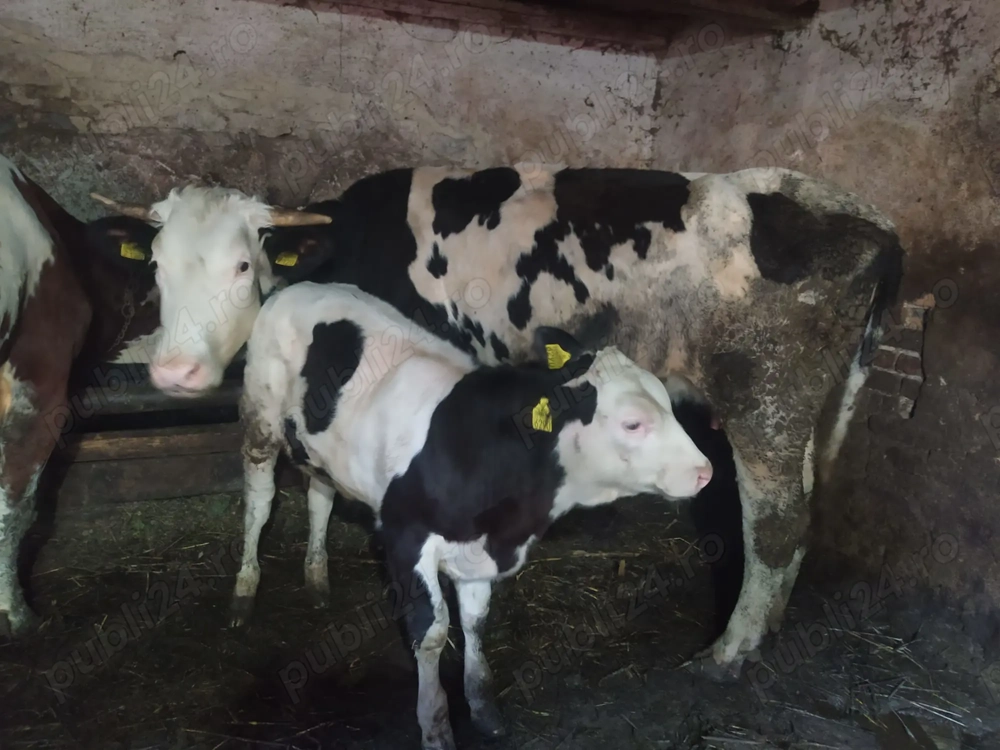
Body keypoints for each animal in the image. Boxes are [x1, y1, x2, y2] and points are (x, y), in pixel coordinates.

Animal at [90, 163, 905, 679]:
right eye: (156, 266)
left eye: (240, 266)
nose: (174, 371)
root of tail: (866, 217)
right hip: (799, 412)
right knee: (798, 513)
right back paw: (766, 627)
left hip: (764, 399)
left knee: (774, 524)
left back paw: (728, 653)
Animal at [231, 278, 714, 749]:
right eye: (633, 423)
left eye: (668, 403)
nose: (705, 471)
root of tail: (295, 285)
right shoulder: (405, 539)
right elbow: (432, 632)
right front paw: (435, 726)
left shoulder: (479, 552)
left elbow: (475, 622)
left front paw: (484, 710)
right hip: (260, 422)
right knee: (259, 501)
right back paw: (244, 591)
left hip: (319, 451)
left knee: (320, 496)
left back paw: (317, 577)